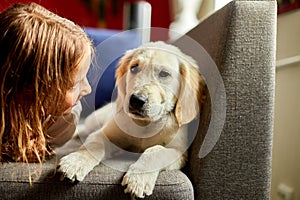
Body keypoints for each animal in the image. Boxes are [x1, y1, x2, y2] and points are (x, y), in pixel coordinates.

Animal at [57, 40, 205, 198]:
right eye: (134, 68)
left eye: (164, 74)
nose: (136, 100)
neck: (145, 124)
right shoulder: (102, 134)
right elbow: (93, 146)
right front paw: (75, 162)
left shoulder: (179, 152)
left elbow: (155, 151)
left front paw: (138, 179)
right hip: (94, 121)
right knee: (82, 129)